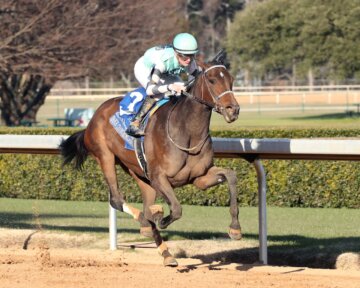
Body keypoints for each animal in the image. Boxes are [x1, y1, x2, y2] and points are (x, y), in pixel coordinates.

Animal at [60, 56, 240, 266]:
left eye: (231, 79)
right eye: (211, 80)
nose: (233, 110)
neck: (187, 131)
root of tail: (93, 118)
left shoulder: (199, 178)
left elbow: (231, 176)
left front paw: (235, 228)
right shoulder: (159, 177)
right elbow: (176, 209)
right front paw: (162, 219)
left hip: (139, 173)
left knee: (145, 207)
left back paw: (166, 252)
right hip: (105, 156)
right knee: (118, 200)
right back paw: (149, 222)